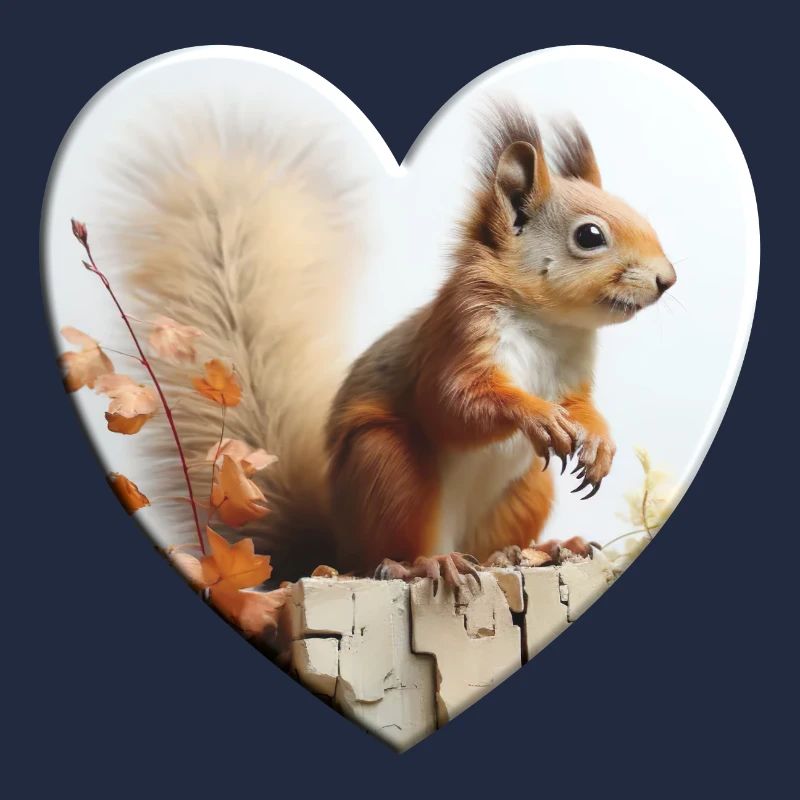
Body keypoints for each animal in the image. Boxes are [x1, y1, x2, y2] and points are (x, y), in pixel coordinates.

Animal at [119, 101, 676, 586]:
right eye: (589, 236)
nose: (667, 280)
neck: (549, 325)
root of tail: (335, 550)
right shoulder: (458, 335)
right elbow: (452, 404)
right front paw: (536, 415)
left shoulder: (573, 372)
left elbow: (582, 407)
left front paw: (598, 442)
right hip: (386, 467)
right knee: (390, 551)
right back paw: (424, 565)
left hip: (525, 490)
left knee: (493, 545)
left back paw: (543, 549)